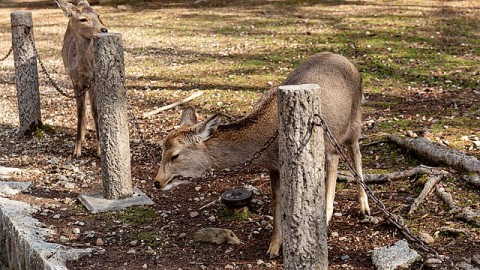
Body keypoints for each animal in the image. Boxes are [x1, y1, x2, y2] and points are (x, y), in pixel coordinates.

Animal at [54, 0, 107, 157]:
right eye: (83, 19)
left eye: (98, 16)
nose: (104, 30)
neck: (84, 69)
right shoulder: (76, 81)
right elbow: (80, 111)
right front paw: (76, 151)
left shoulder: (94, 80)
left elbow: (95, 110)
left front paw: (100, 150)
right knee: (82, 109)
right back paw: (82, 136)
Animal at [154, 52, 372, 258]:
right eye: (162, 149)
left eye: (175, 155)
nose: (157, 182)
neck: (269, 146)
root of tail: (349, 62)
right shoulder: (273, 168)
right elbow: (277, 200)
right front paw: (274, 247)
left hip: (352, 120)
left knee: (353, 153)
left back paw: (361, 209)